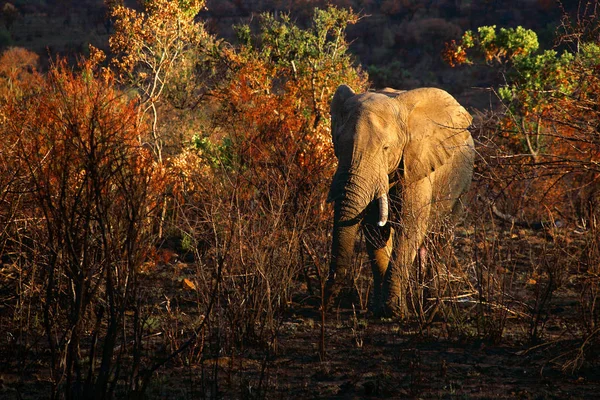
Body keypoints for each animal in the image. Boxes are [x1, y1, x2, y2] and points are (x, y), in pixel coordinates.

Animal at [326, 85, 476, 318]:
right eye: (338, 145)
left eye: (386, 148)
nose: (328, 303)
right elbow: (375, 230)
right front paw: (379, 310)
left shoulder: (417, 165)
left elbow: (410, 226)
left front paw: (394, 312)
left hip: (463, 183)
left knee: (441, 237)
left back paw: (434, 309)